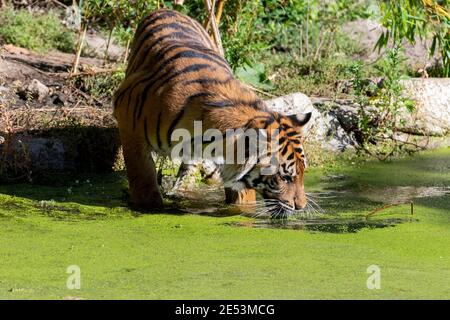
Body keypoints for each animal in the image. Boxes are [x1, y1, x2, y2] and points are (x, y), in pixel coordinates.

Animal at [112, 8, 312, 218]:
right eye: (285, 177)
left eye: (303, 172)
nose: (302, 206)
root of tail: (167, 9)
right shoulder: (129, 126)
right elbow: (143, 181)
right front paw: (148, 206)